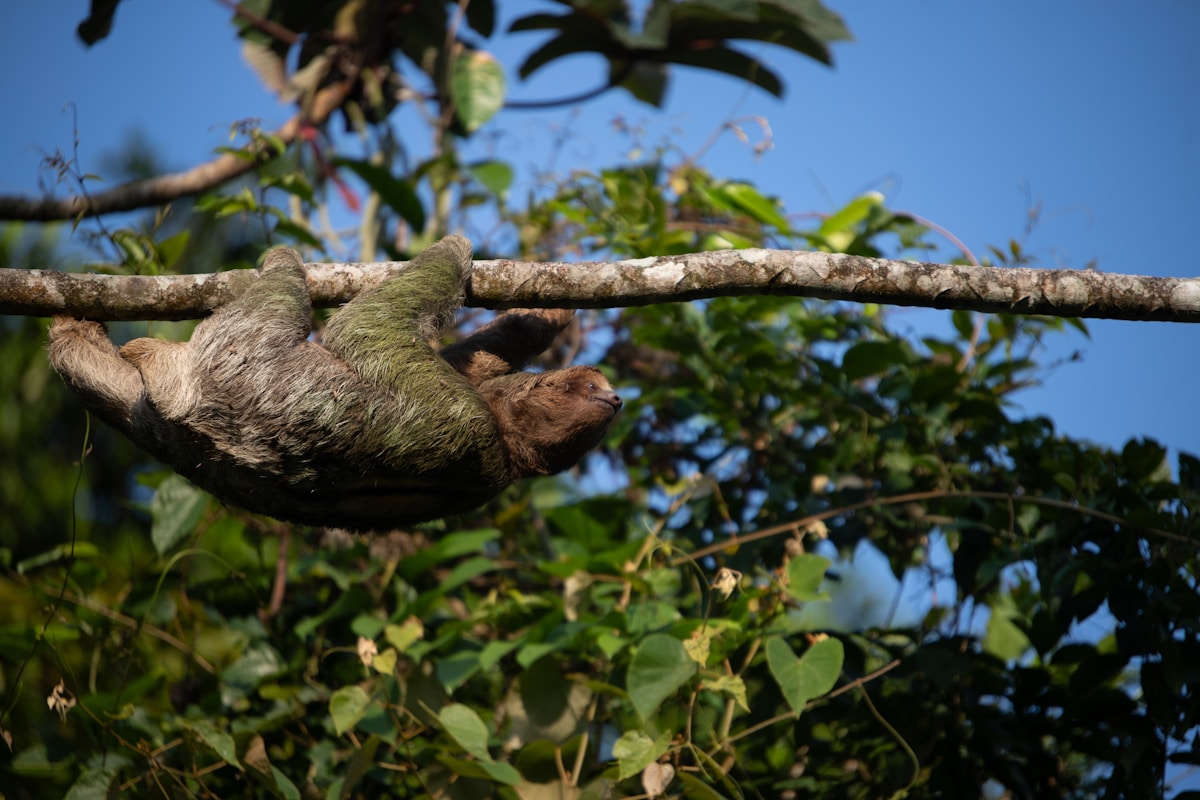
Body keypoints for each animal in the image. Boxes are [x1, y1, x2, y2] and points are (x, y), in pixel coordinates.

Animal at [47, 235, 622, 531]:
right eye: (593, 387)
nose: (616, 399)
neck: (505, 446)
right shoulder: (473, 397)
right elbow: (483, 351)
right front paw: (550, 309)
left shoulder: (461, 420)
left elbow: (365, 329)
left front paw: (453, 245)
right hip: (168, 434)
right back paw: (78, 325)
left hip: (236, 364)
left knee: (275, 304)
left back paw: (277, 264)